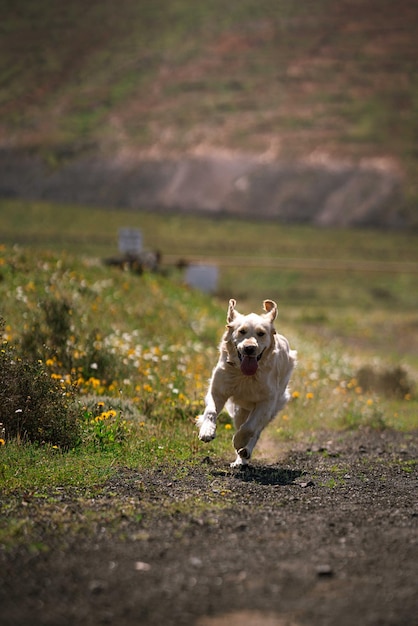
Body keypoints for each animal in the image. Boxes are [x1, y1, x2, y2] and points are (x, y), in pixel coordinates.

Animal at [198, 296, 296, 464]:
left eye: (261, 333)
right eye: (241, 331)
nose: (249, 348)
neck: (245, 375)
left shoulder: (266, 402)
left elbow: (250, 427)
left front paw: (239, 442)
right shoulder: (217, 390)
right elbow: (211, 410)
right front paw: (207, 431)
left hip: (273, 408)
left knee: (256, 431)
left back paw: (245, 452)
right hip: (239, 410)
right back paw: (240, 461)